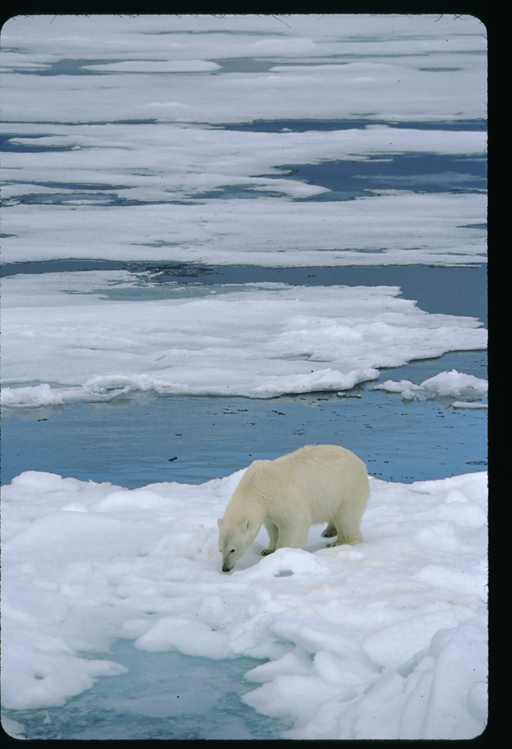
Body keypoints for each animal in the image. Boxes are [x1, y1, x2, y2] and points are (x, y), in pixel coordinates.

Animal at [216, 444, 368, 572]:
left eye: (233, 549)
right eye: (220, 550)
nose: (225, 568)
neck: (256, 487)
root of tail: (360, 461)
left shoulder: (281, 497)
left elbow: (296, 520)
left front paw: (283, 552)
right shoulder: (268, 510)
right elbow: (272, 527)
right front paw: (268, 550)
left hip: (349, 488)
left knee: (347, 517)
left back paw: (339, 542)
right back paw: (329, 531)